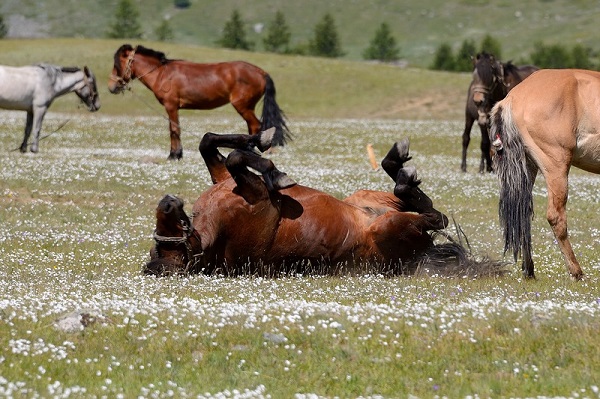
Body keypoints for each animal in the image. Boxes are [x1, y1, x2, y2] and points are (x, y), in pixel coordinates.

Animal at [108, 44, 290, 160]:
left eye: (117, 65)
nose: (111, 86)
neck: (162, 74)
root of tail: (261, 72)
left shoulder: (171, 106)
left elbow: (174, 130)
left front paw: (174, 155)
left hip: (242, 106)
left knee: (255, 125)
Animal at [145, 131, 506, 278]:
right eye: (167, 247)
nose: (167, 203)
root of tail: (421, 254)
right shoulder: (257, 195)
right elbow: (237, 159)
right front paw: (276, 173)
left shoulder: (225, 180)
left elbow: (211, 143)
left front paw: (258, 139)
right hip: (390, 226)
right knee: (435, 217)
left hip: (366, 197)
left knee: (413, 199)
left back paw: (396, 163)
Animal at [488, 69, 600, 282]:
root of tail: (512, 97)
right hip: (557, 166)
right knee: (556, 217)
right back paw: (576, 272)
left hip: (527, 168)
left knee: (522, 214)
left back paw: (529, 270)